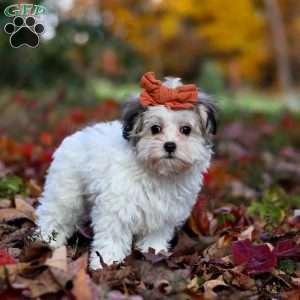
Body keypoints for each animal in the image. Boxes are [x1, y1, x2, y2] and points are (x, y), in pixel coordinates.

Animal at [36, 72, 217, 270]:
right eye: (155, 129)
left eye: (186, 130)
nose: (170, 146)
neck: (158, 173)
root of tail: (76, 136)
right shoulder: (116, 210)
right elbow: (112, 236)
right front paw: (106, 262)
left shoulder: (163, 215)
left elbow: (155, 235)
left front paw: (154, 252)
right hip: (65, 191)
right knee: (54, 213)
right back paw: (46, 239)